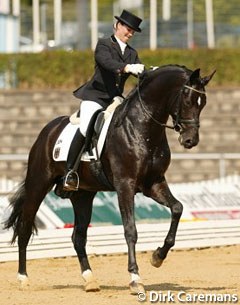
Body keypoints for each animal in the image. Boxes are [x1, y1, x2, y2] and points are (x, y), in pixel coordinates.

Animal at [4, 64, 216, 292]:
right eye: (187, 99)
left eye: (203, 103)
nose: (190, 140)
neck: (143, 128)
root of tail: (47, 131)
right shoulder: (125, 185)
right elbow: (130, 230)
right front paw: (135, 278)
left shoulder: (154, 183)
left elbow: (177, 208)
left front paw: (158, 256)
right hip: (38, 184)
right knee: (25, 228)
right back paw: (23, 278)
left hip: (83, 195)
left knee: (78, 236)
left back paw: (90, 280)